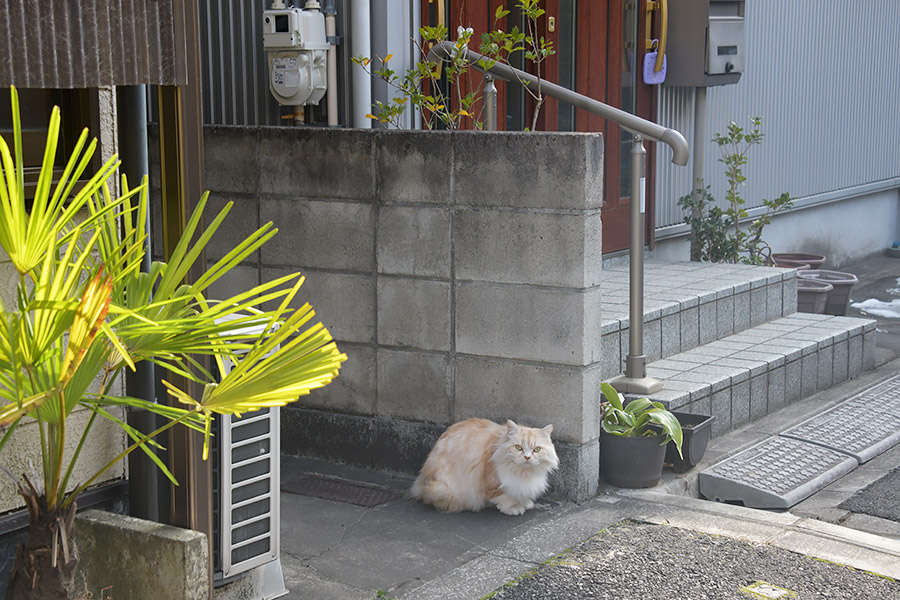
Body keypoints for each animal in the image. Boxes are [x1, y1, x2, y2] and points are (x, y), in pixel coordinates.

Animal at [414, 418, 556, 516]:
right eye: (518, 448)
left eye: (536, 449)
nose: (527, 457)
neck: (523, 473)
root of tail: (420, 484)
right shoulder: (492, 482)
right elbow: (504, 496)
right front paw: (514, 507)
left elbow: (521, 493)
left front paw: (525, 503)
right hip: (440, 488)